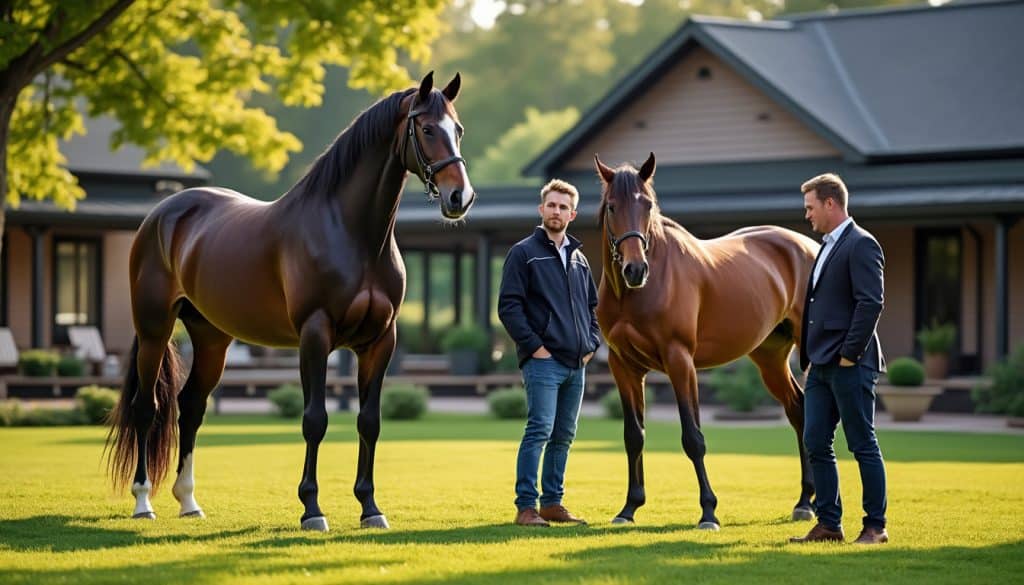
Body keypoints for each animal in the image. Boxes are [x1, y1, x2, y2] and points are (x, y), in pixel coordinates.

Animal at [105, 72, 474, 532]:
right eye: (426, 129)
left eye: (458, 130)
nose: (461, 198)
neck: (352, 234)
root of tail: (163, 213)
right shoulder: (315, 335)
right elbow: (315, 420)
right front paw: (312, 509)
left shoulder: (379, 342)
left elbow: (369, 422)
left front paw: (370, 508)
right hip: (154, 329)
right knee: (146, 406)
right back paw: (143, 501)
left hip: (211, 338)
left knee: (190, 407)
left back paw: (189, 501)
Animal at [594, 152, 818, 530]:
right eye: (612, 206)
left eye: (648, 204)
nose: (635, 270)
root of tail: (812, 247)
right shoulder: (623, 366)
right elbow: (633, 436)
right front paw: (629, 508)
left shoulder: (680, 360)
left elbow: (693, 437)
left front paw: (709, 511)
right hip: (770, 359)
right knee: (799, 411)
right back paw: (805, 501)